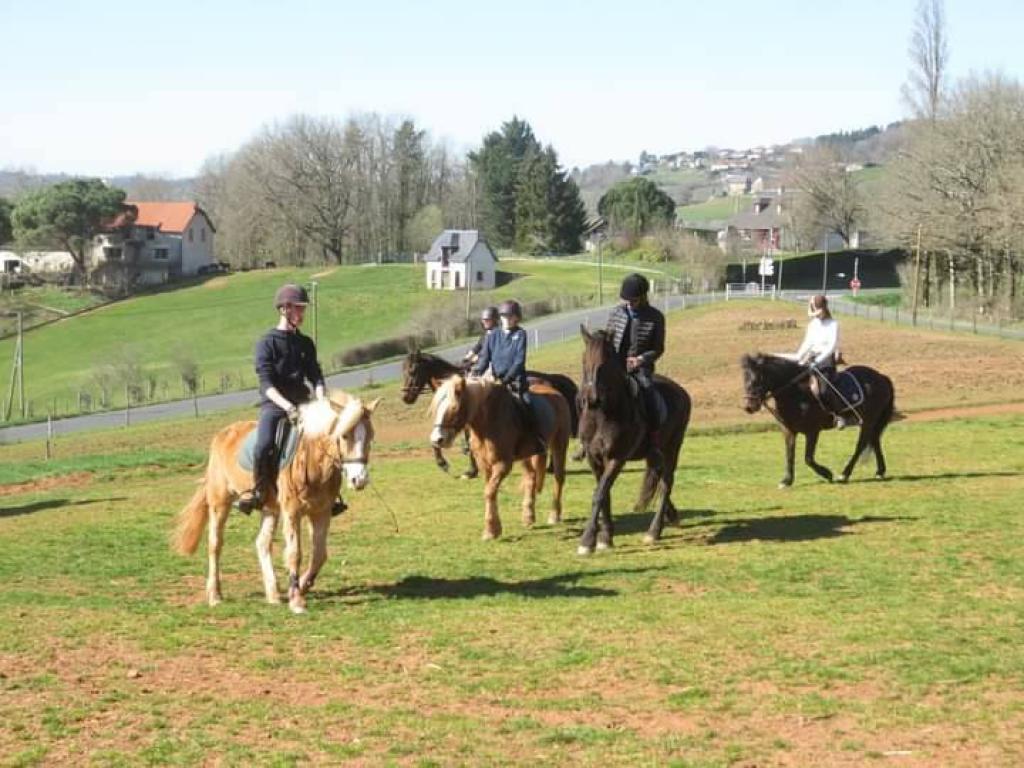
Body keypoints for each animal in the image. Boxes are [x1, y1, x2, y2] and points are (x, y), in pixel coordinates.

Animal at [174, 393, 382, 618]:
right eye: (344, 436)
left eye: (370, 436)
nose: (359, 480)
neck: (311, 459)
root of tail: (222, 435)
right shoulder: (292, 511)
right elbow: (294, 553)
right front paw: (297, 600)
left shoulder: (321, 512)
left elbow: (319, 554)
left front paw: (301, 586)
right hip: (220, 502)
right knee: (215, 544)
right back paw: (215, 595)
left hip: (270, 508)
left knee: (262, 543)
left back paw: (273, 594)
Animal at [428, 376, 573, 540]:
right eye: (436, 409)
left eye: (454, 408)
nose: (437, 440)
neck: (488, 421)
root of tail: (555, 392)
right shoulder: (485, 464)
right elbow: (489, 490)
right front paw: (493, 528)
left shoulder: (503, 464)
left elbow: (490, 491)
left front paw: (491, 530)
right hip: (526, 455)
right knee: (531, 477)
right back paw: (528, 516)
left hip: (559, 445)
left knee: (558, 477)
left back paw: (554, 515)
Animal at [581, 327, 692, 557]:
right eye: (584, 360)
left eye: (605, 362)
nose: (592, 399)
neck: (604, 414)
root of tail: (681, 392)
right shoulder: (594, 459)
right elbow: (604, 494)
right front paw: (606, 537)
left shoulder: (616, 458)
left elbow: (600, 494)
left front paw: (588, 541)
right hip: (655, 453)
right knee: (659, 478)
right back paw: (672, 515)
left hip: (672, 448)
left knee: (666, 483)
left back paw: (654, 531)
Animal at [737, 354, 897, 487]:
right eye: (745, 378)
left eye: (758, 378)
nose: (749, 407)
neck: (796, 393)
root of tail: (882, 377)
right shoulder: (788, 430)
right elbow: (789, 455)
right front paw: (787, 480)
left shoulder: (812, 431)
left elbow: (808, 458)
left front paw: (827, 474)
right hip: (873, 420)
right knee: (875, 440)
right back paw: (880, 472)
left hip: (868, 420)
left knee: (861, 445)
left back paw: (844, 474)